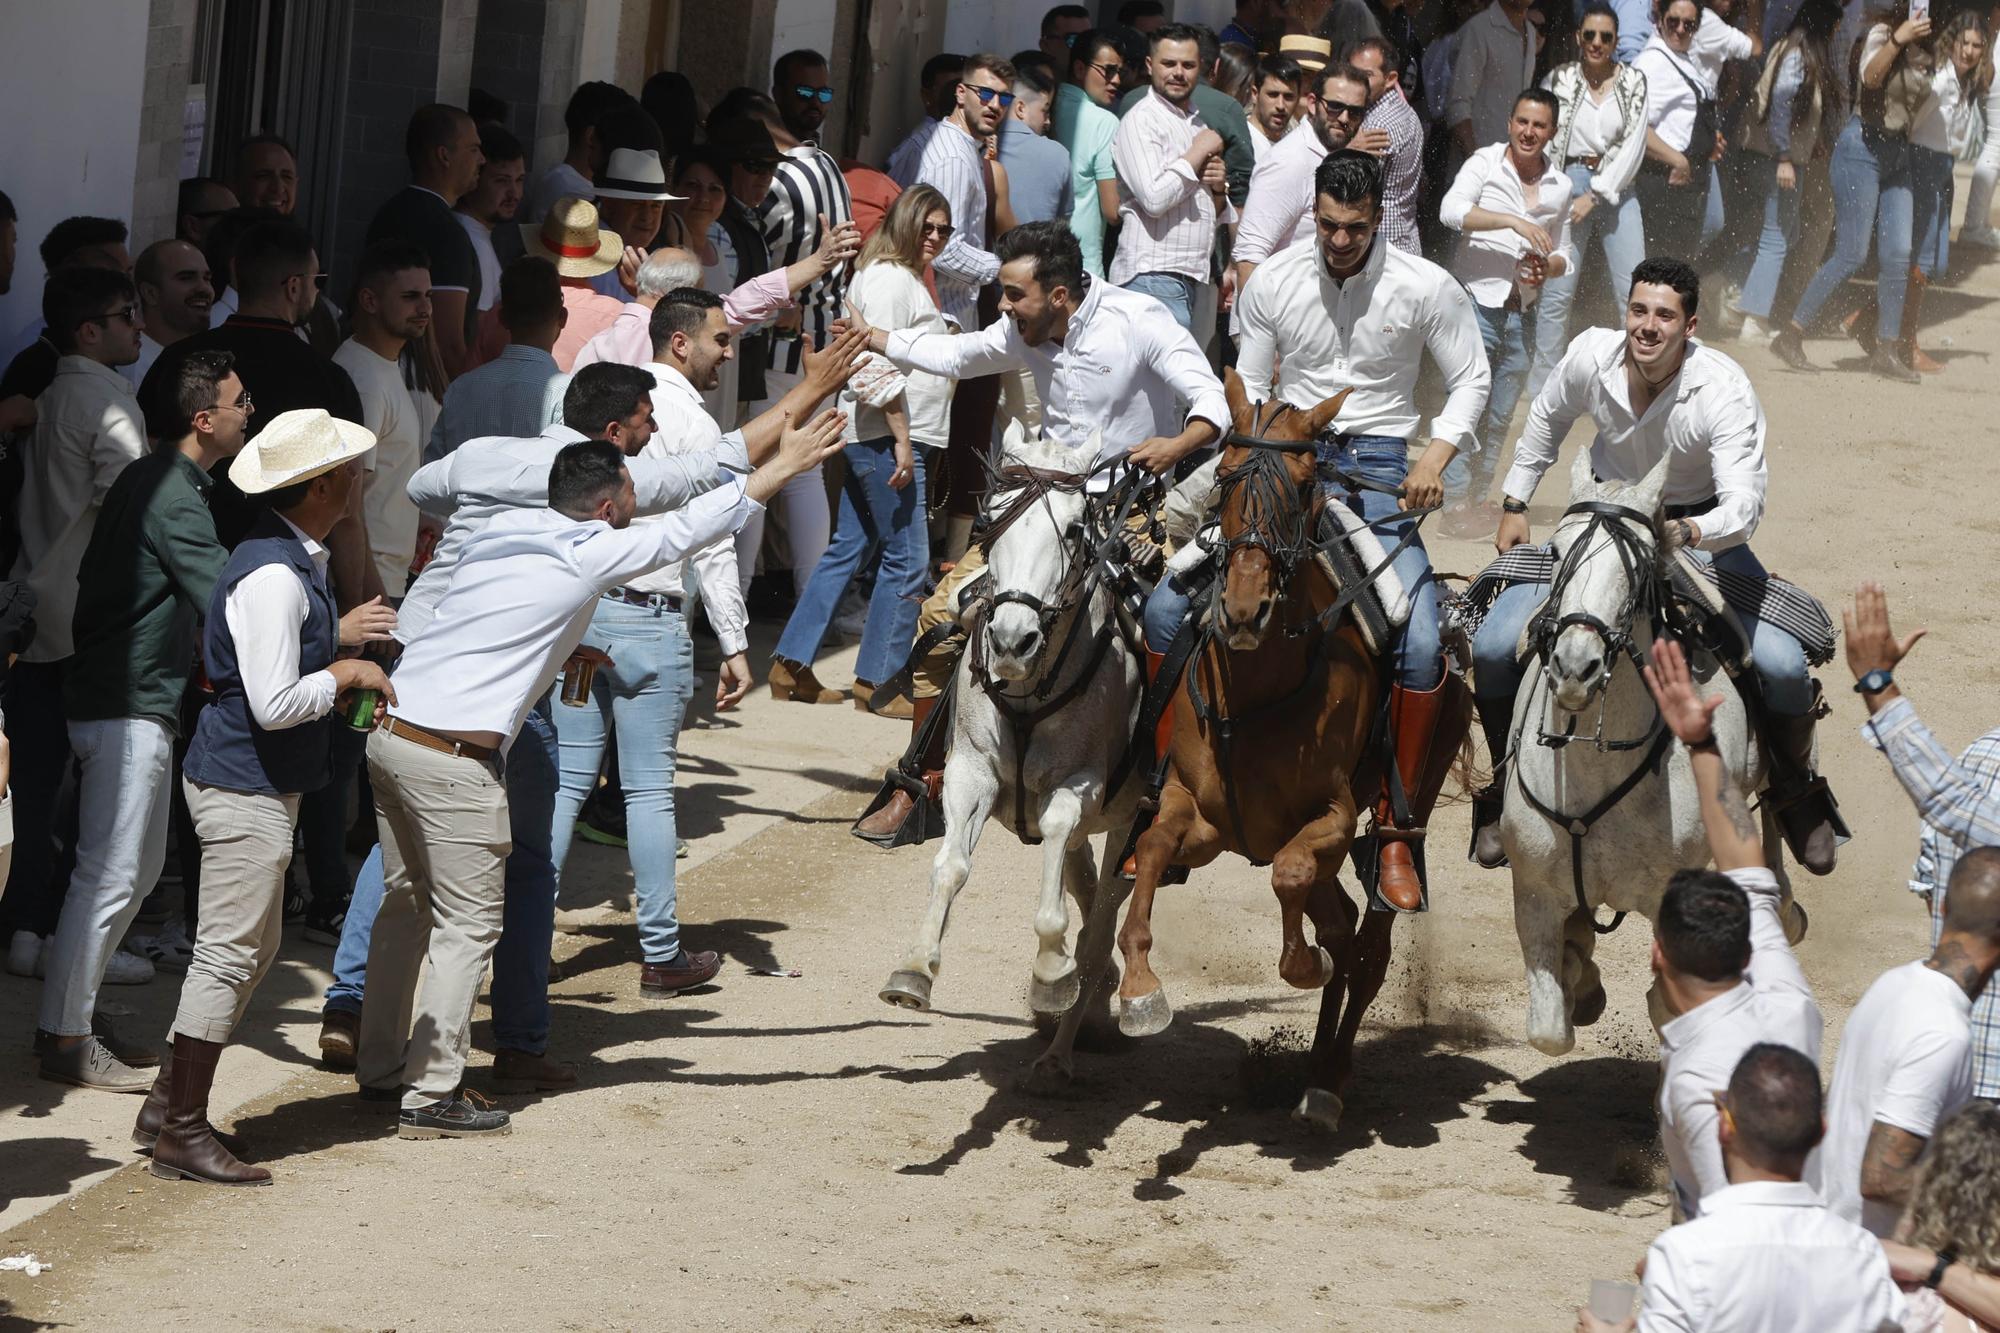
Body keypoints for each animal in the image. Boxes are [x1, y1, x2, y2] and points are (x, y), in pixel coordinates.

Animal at [884, 426, 1152, 1080]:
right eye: (990, 520)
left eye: (1077, 529)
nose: (1011, 640)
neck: (1032, 689)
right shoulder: (969, 774)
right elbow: (951, 866)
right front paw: (915, 968)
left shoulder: (1079, 787)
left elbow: (1055, 847)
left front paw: (1051, 971)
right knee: (1087, 891)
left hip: (1129, 824)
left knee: (1100, 921)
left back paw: (1062, 1046)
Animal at [1120, 374, 1400, 1128]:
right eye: (1221, 476)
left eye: (1304, 487)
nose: (1243, 611)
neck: (1255, 696)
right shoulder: (1200, 817)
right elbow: (1153, 848)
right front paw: (1139, 989)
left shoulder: (1332, 816)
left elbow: (1290, 875)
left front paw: (1300, 966)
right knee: (1343, 926)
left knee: (1367, 946)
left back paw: (1328, 1078)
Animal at [1504, 452, 1800, 1056]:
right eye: (1555, 551)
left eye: (1639, 567)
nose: (1576, 667)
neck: (1594, 766)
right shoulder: (1534, 892)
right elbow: (1549, 1030)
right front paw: (1581, 981)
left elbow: (1667, 1007)